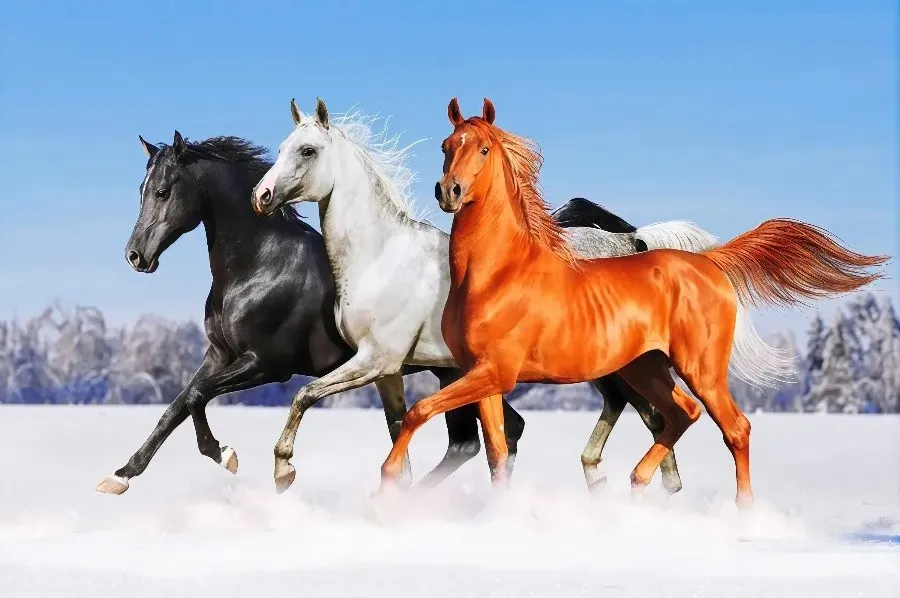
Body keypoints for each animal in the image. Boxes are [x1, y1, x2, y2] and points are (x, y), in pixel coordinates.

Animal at [249, 98, 720, 494]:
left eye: (307, 151)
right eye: (282, 147)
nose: (261, 196)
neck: (381, 255)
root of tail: (631, 242)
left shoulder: (375, 360)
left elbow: (304, 395)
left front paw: (283, 470)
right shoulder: (387, 372)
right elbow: (398, 431)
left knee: (652, 414)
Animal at [379, 97, 888, 507]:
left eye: (483, 149)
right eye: (446, 145)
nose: (449, 191)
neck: (497, 273)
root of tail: (708, 262)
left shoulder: (495, 372)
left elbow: (418, 412)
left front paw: (386, 484)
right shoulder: (480, 375)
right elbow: (496, 455)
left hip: (698, 368)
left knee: (733, 427)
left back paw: (742, 514)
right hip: (645, 368)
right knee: (681, 414)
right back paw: (637, 481)